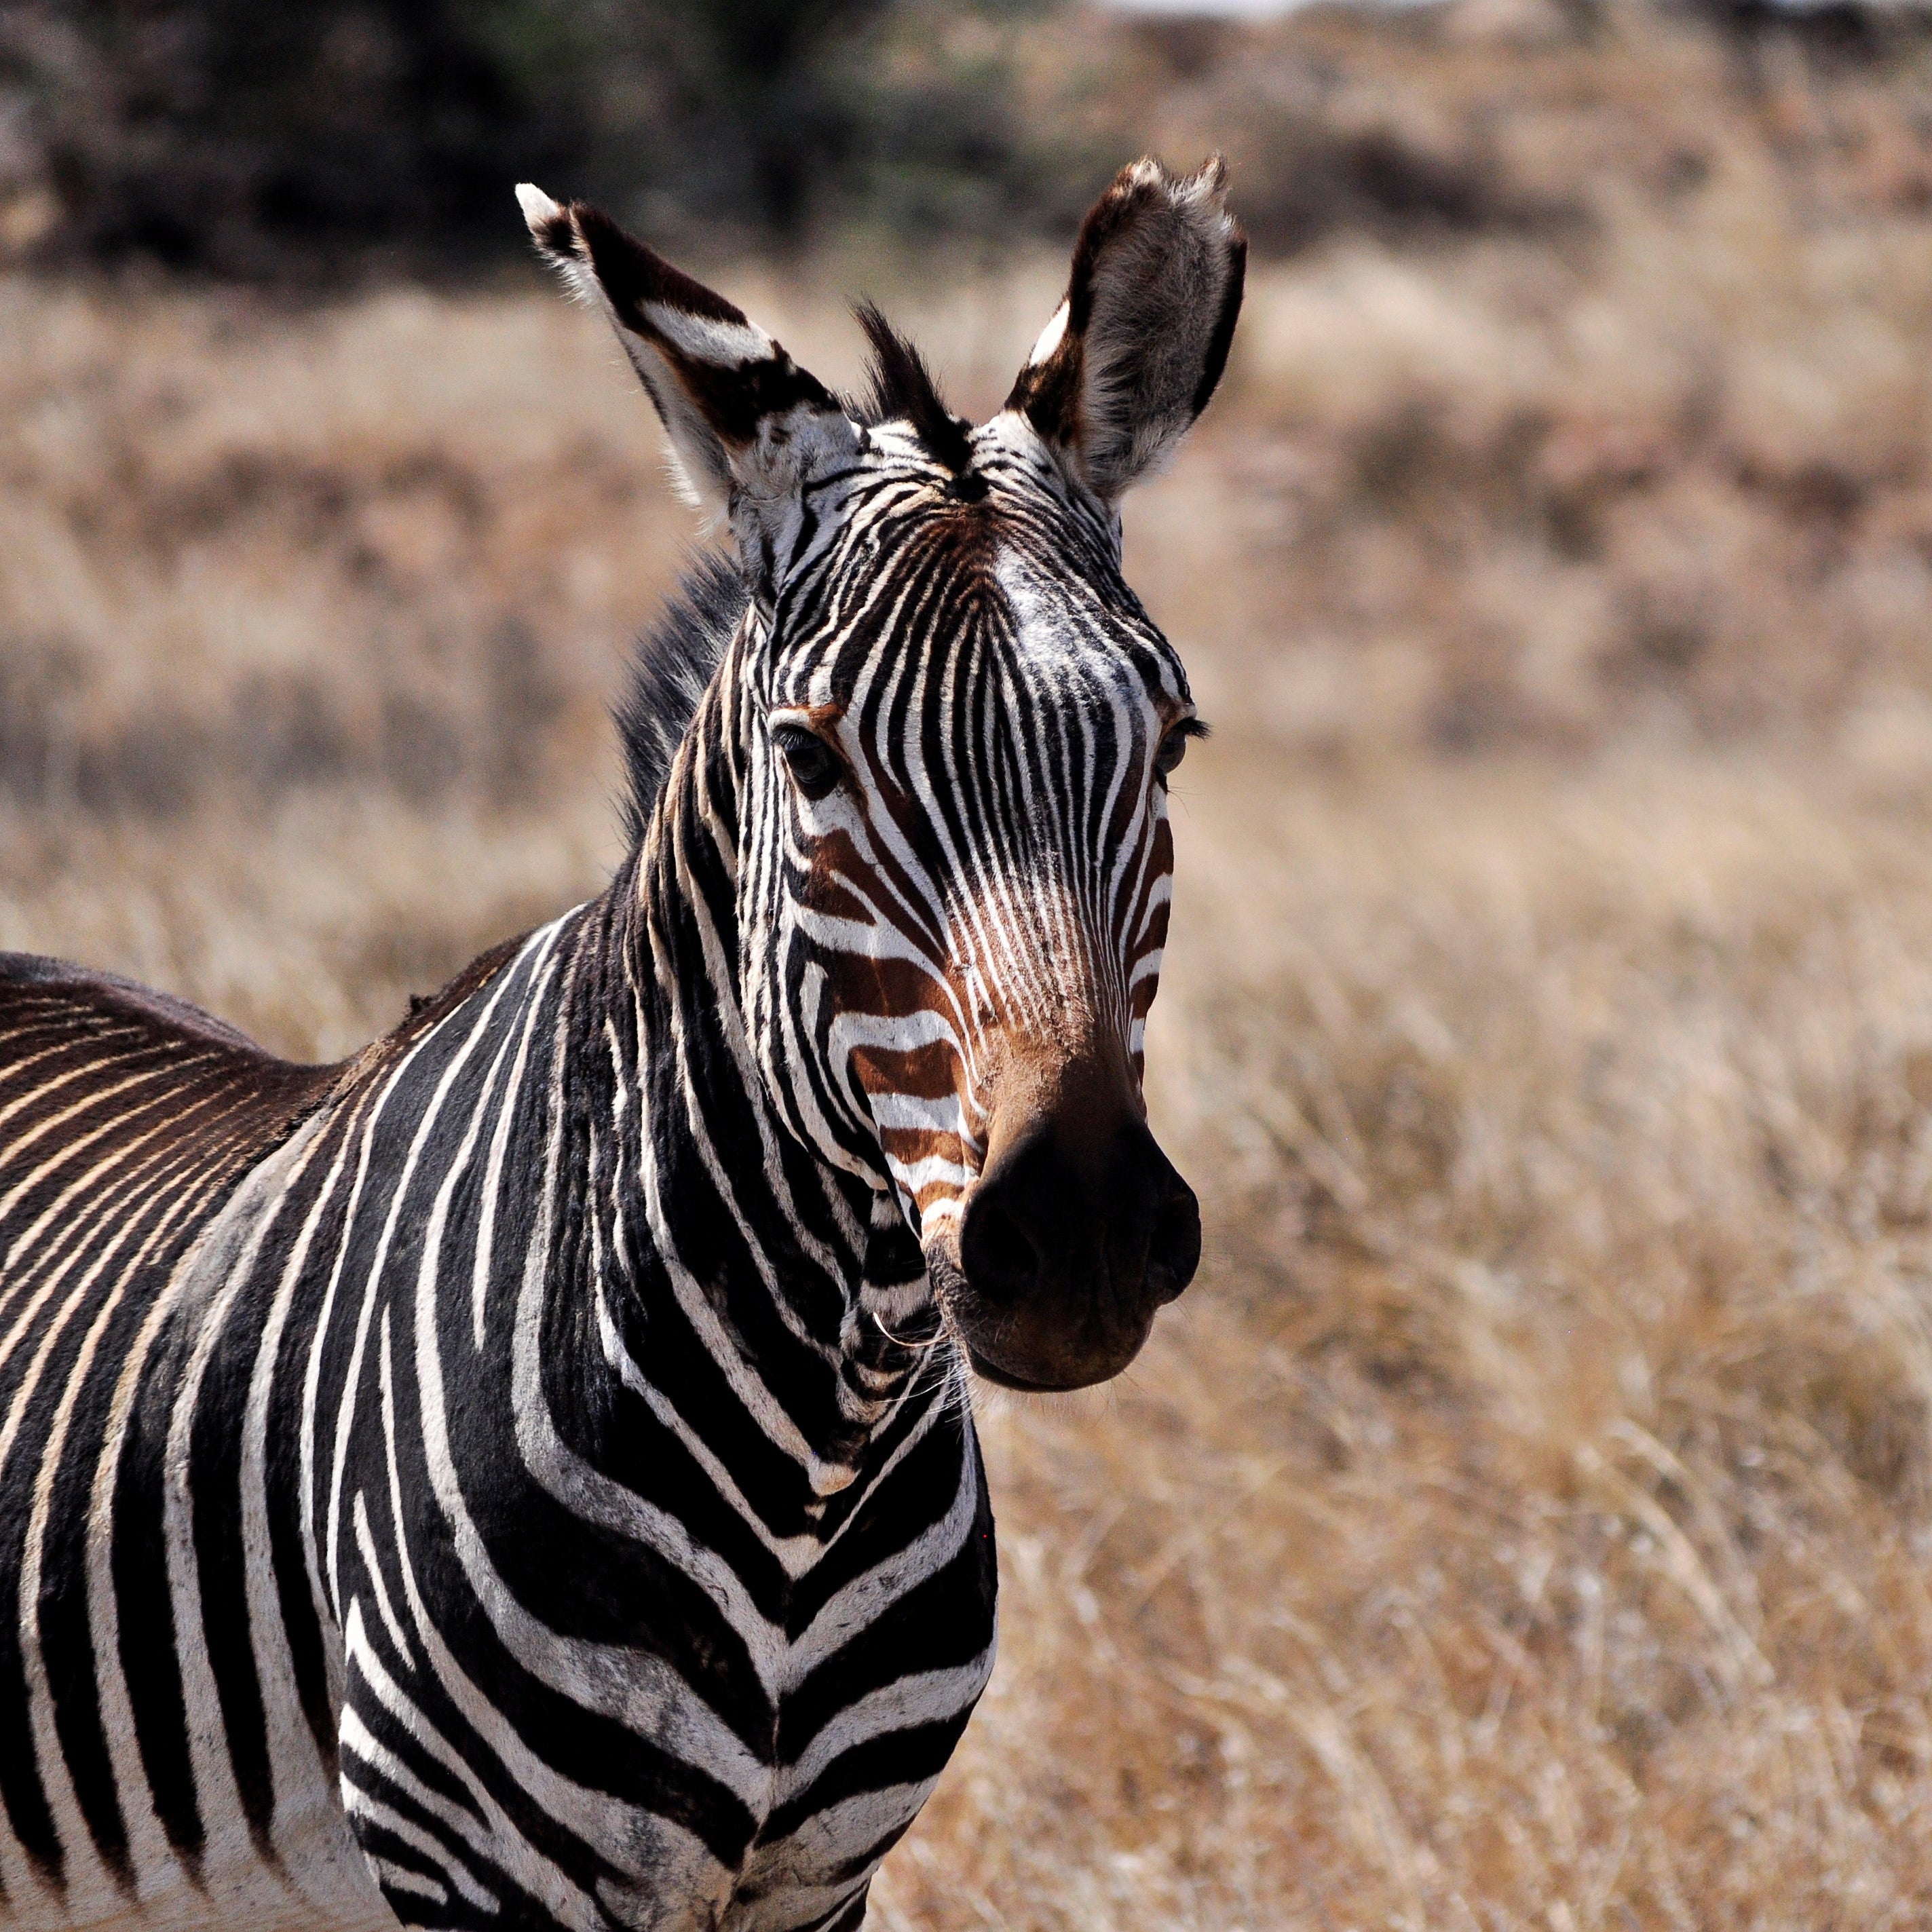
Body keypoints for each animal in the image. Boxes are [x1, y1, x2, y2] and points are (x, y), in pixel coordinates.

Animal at [0, 154, 1244, 1932]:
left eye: (1170, 738)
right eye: (809, 756)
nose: (1076, 1241)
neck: (817, 1440)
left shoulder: (815, 1886)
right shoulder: (485, 1876)